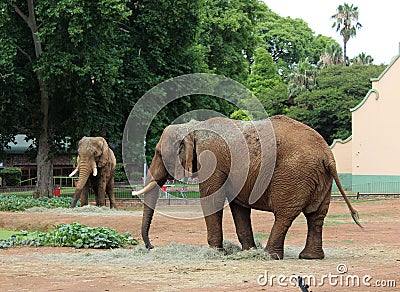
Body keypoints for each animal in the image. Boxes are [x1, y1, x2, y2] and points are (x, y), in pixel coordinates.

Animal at [133, 115, 360, 258]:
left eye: (158, 153)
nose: (151, 246)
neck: (192, 127)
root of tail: (327, 154)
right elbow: (238, 206)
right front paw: (246, 251)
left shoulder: (212, 160)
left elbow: (212, 198)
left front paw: (216, 253)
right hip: (321, 178)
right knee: (316, 215)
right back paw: (309, 257)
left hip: (294, 175)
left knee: (285, 214)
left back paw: (268, 255)